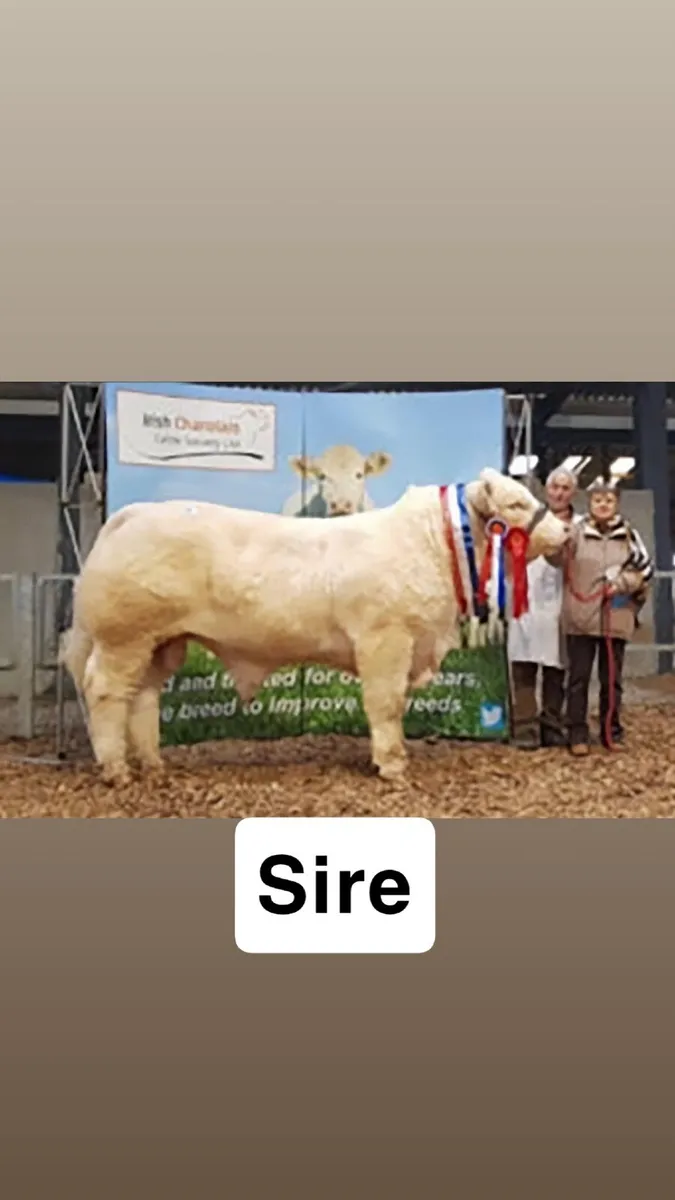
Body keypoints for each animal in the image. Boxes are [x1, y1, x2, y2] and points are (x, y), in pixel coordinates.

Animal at [59, 468, 570, 789]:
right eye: (516, 502)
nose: (567, 532)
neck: (432, 545)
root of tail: (133, 514)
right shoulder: (385, 639)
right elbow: (385, 704)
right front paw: (392, 765)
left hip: (162, 641)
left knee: (142, 696)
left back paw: (152, 763)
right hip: (124, 637)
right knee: (106, 691)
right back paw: (117, 770)